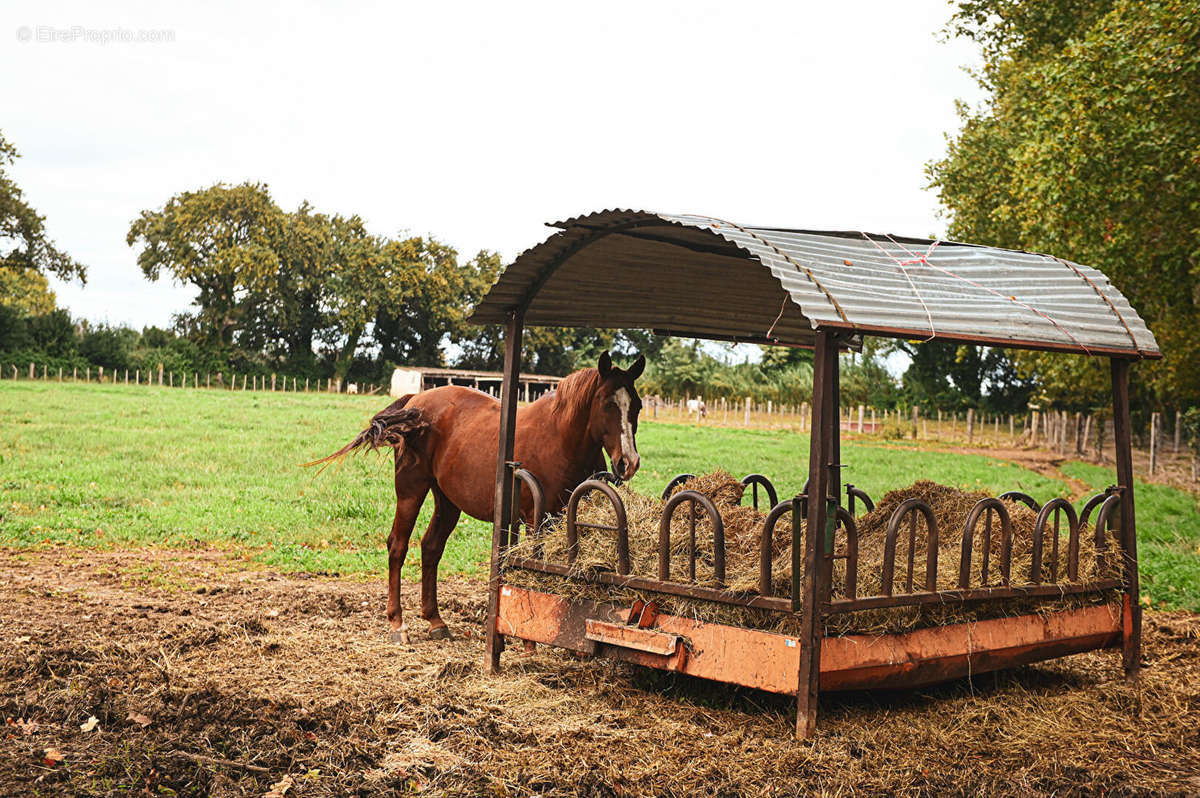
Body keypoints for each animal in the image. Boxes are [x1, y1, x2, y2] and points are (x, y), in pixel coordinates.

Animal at [314, 352, 643, 638]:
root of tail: (416, 402)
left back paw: (435, 621)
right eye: (606, 403)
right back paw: (397, 623)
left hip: (447, 501)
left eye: (637, 405)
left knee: (430, 547)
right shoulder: (536, 520)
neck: (561, 438)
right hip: (411, 491)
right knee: (398, 546)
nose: (628, 463)